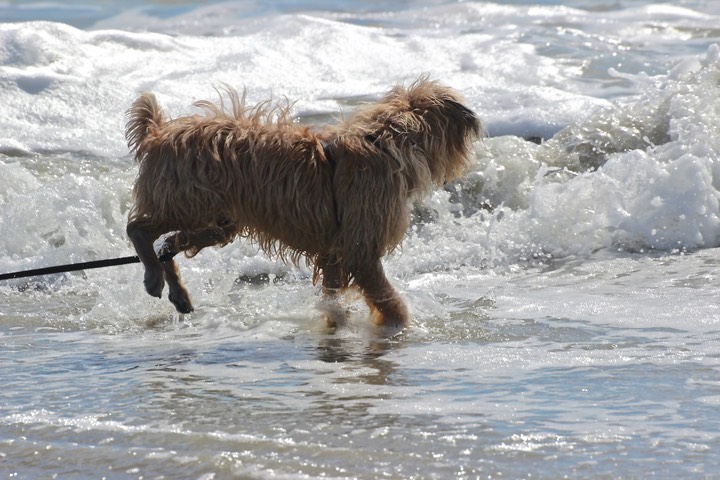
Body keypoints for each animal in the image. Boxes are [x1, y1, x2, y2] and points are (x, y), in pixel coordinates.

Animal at [126, 77, 480, 328]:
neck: (384, 142)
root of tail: (157, 134)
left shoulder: (334, 252)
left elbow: (333, 293)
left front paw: (336, 322)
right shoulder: (360, 247)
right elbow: (384, 294)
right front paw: (397, 323)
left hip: (216, 221)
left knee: (169, 244)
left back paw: (178, 292)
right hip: (189, 200)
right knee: (139, 229)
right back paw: (153, 276)